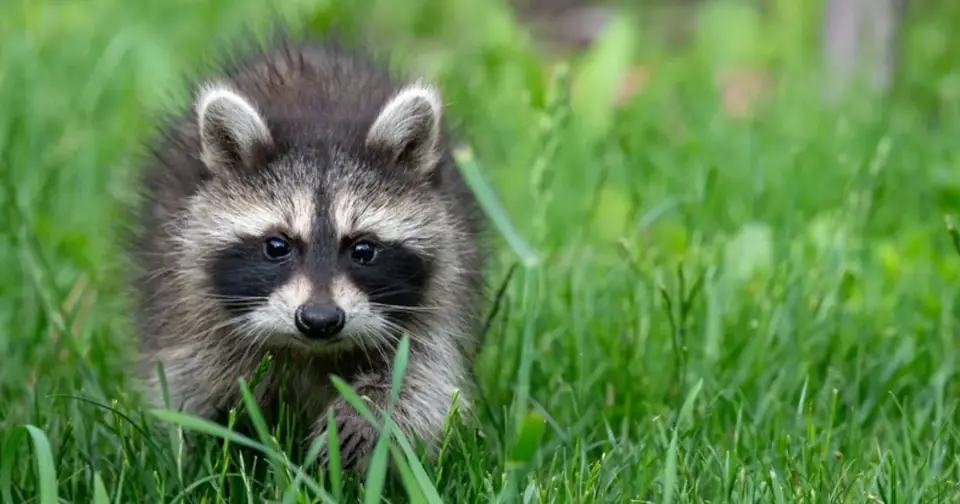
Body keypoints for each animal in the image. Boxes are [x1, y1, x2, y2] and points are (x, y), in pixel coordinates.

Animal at [128, 35, 485, 471]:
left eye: (363, 248)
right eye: (277, 246)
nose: (319, 320)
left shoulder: (442, 290)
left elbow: (421, 377)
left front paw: (368, 414)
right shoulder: (185, 299)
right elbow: (193, 385)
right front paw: (210, 454)